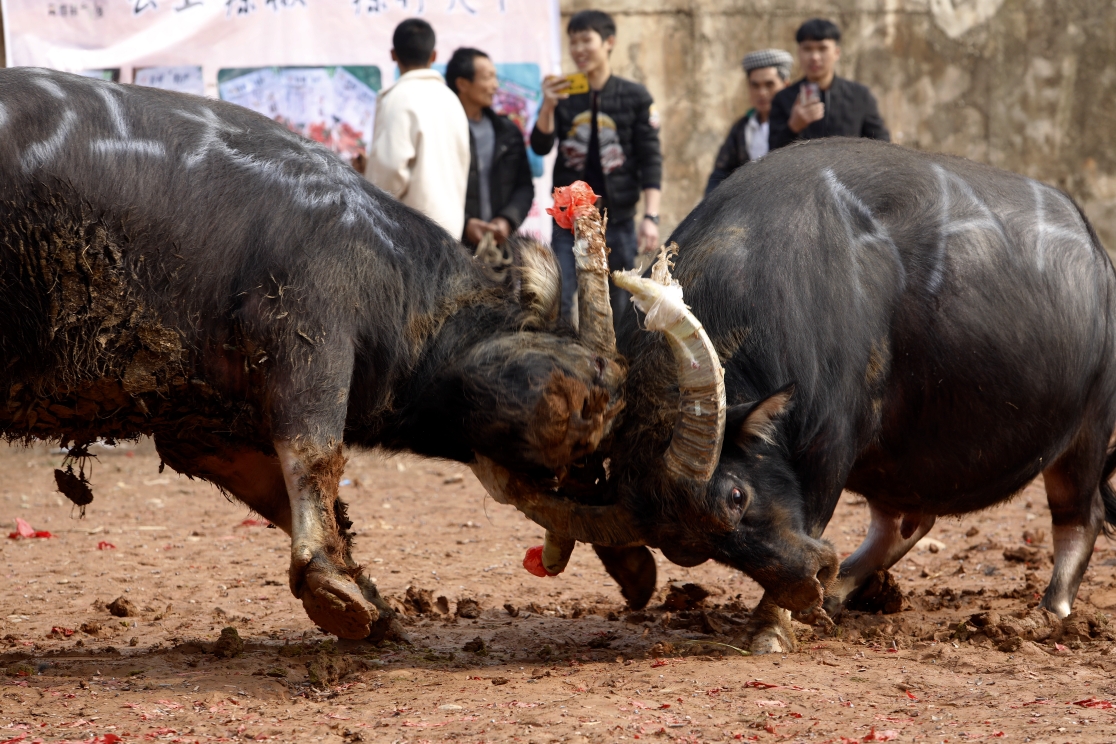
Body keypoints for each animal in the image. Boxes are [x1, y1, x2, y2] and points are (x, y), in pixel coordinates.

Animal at [0, 66, 629, 642]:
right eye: (592, 368)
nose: (592, 422)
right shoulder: (311, 332)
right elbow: (315, 453)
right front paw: (335, 593)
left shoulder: (201, 427)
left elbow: (271, 487)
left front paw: (374, 601)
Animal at [482, 136, 1116, 655]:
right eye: (687, 551)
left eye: (735, 496)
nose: (806, 581)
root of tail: (1099, 256)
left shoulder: (830, 446)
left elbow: (815, 504)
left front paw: (771, 626)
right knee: (904, 520)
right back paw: (846, 587)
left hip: (1086, 433)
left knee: (1079, 519)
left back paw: (1048, 611)